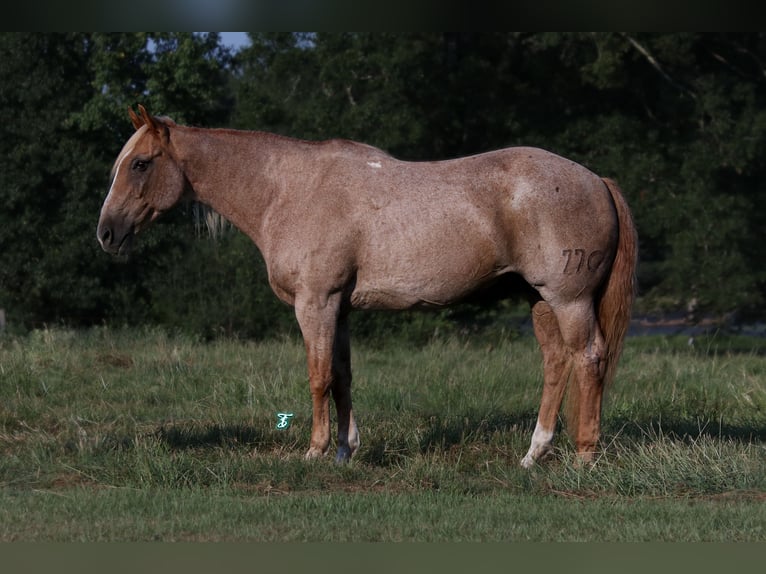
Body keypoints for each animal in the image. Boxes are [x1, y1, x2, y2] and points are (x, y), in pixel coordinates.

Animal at [99, 107, 640, 468]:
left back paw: (584, 456)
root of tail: (597, 180)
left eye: (141, 163)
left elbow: (318, 377)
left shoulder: (315, 304)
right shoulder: (338, 307)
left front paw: (314, 451)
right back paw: (533, 454)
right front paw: (345, 450)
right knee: (556, 363)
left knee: (589, 358)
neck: (289, 190)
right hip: (539, 299)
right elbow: (342, 376)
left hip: (568, 300)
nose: (106, 233)